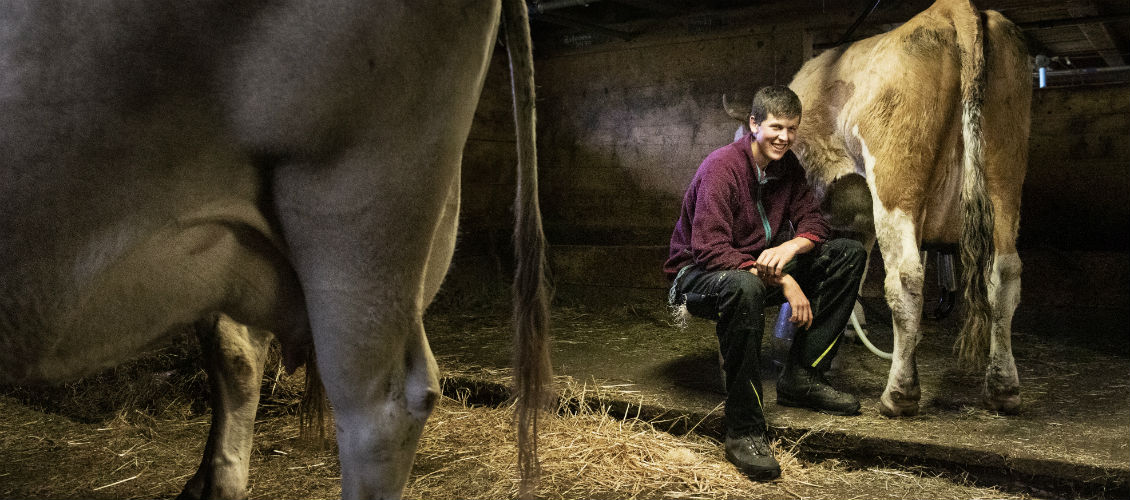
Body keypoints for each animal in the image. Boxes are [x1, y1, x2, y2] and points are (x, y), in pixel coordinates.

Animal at [727, 0, 1030, 416]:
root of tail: (951, 9)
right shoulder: (859, 220)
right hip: (1005, 179)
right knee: (1005, 273)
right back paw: (1003, 388)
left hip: (895, 182)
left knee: (906, 276)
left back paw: (899, 393)